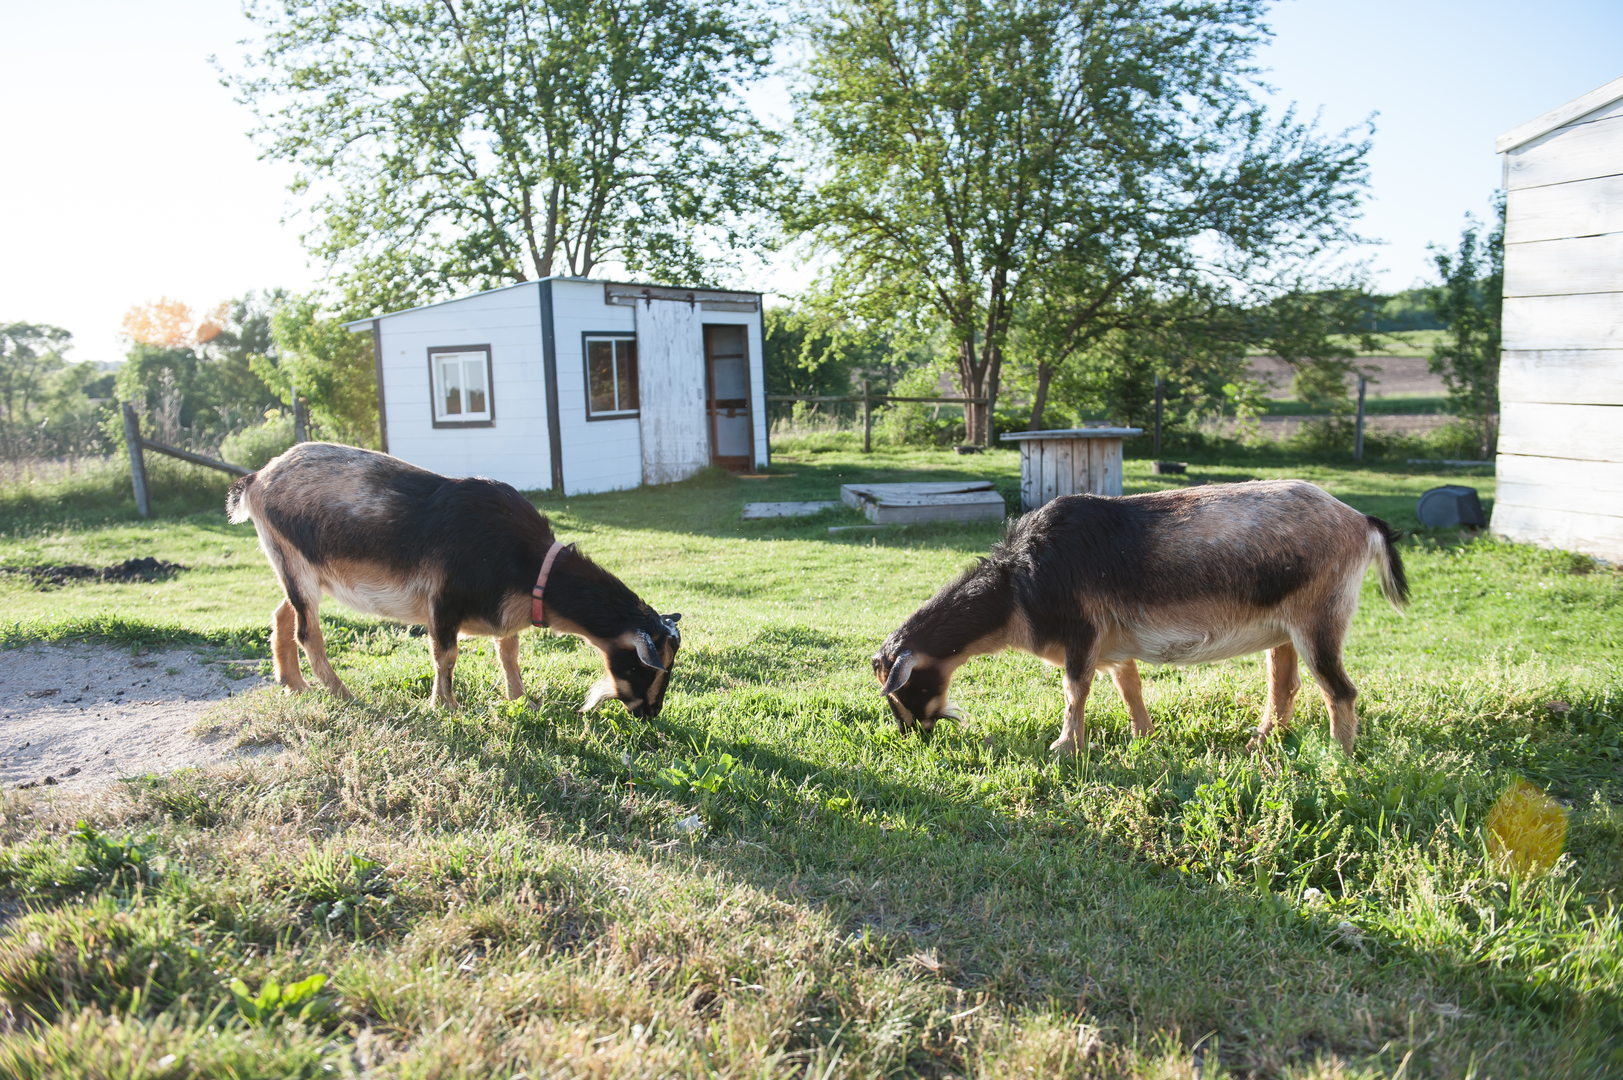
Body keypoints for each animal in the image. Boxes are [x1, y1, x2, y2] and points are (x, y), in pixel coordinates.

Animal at [228, 441, 678, 711]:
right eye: (641, 667)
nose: (650, 714)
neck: (531, 565)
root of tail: (256, 479)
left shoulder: (502, 613)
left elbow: (508, 653)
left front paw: (521, 701)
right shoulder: (443, 600)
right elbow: (445, 654)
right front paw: (444, 707)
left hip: (298, 568)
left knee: (282, 615)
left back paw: (295, 685)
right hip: (297, 564)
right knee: (308, 632)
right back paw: (344, 694)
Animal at [876, 480, 1408, 756]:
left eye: (905, 688)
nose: (913, 735)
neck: (1016, 588)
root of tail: (1362, 522)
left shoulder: (1081, 633)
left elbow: (1074, 690)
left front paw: (1065, 747)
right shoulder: (1111, 648)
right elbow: (1127, 687)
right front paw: (1143, 737)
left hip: (1319, 620)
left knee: (1339, 690)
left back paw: (1339, 757)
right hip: (1284, 627)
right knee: (1285, 684)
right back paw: (1261, 742)